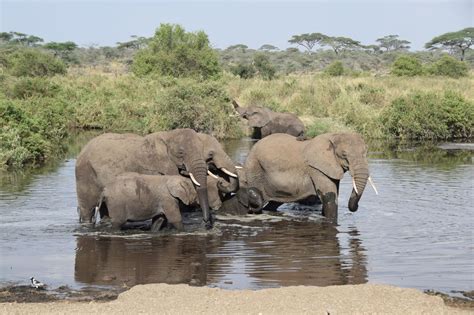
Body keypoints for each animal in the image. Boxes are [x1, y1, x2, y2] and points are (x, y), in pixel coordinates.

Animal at [76, 128, 239, 230]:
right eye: (181, 153)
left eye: (205, 154)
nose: (207, 223)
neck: (168, 135)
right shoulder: (156, 169)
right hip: (85, 175)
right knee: (87, 209)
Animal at [237, 133, 378, 222]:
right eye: (344, 155)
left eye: (366, 153)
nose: (356, 208)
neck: (333, 135)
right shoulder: (316, 169)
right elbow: (329, 199)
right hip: (254, 169)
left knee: (274, 203)